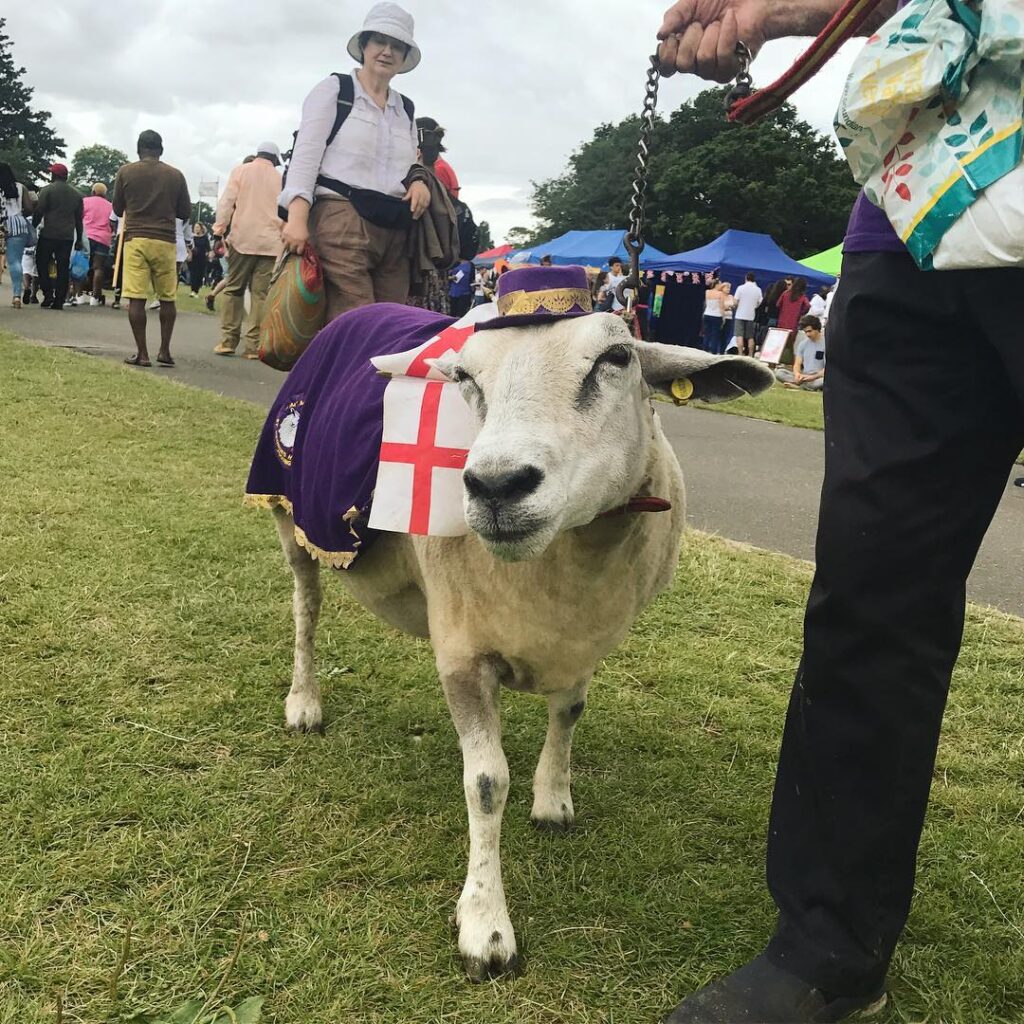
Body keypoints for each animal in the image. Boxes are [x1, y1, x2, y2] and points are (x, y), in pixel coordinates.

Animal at [268, 313, 770, 983]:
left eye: (617, 357)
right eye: (463, 375)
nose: (496, 485)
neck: (571, 562)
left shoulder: (585, 639)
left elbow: (569, 714)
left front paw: (553, 799)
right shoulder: (463, 652)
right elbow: (485, 783)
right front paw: (485, 925)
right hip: (289, 516)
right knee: (307, 607)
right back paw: (304, 702)